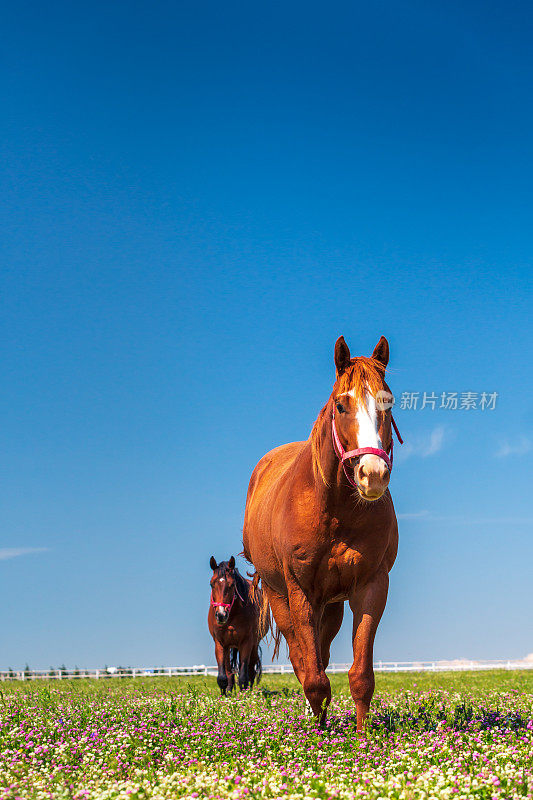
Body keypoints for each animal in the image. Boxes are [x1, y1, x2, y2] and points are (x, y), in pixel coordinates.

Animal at [208, 556, 266, 692]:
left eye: (232, 585)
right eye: (211, 584)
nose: (221, 615)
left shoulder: (247, 642)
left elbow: (244, 676)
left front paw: (245, 695)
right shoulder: (220, 643)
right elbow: (223, 677)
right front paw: (225, 694)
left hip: (254, 645)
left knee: (251, 670)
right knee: (229, 671)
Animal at [241, 338, 400, 732]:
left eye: (388, 403)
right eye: (341, 405)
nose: (373, 474)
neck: (335, 509)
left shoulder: (370, 587)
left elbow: (361, 675)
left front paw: (362, 737)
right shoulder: (300, 593)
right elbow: (311, 675)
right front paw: (319, 735)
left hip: (331, 606)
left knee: (322, 655)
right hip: (284, 598)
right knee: (303, 660)